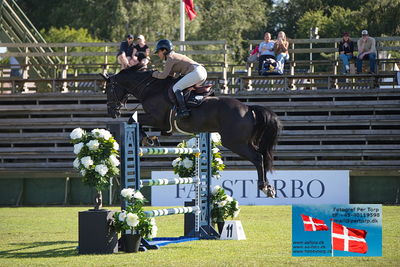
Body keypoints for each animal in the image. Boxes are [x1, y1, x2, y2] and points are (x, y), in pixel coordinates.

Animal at [100, 65, 282, 198]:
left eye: (108, 90)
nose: (112, 112)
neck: (151, 89)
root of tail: (248, 109)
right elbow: (136, 121)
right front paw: (149, 139)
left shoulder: (157, 119)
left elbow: (134, 120)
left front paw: (147, 139)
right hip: (245, 141)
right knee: (262, 156)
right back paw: (269, 187)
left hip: (235, 142)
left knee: (258, 158)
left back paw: (264, 187)